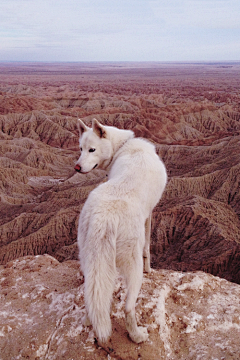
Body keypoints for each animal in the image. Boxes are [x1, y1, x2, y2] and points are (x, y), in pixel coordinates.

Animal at [75, 118, 167, 344]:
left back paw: (90, 320)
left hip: (87, 257)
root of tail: (104, 217)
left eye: (90, 149)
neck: (124, 146)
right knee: (128, 307)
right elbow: (148, 249)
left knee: (92, 296)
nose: (77, 167)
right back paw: (137, 335)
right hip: (132, 267)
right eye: (81, 148)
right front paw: (150, 269)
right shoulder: (150, 215)